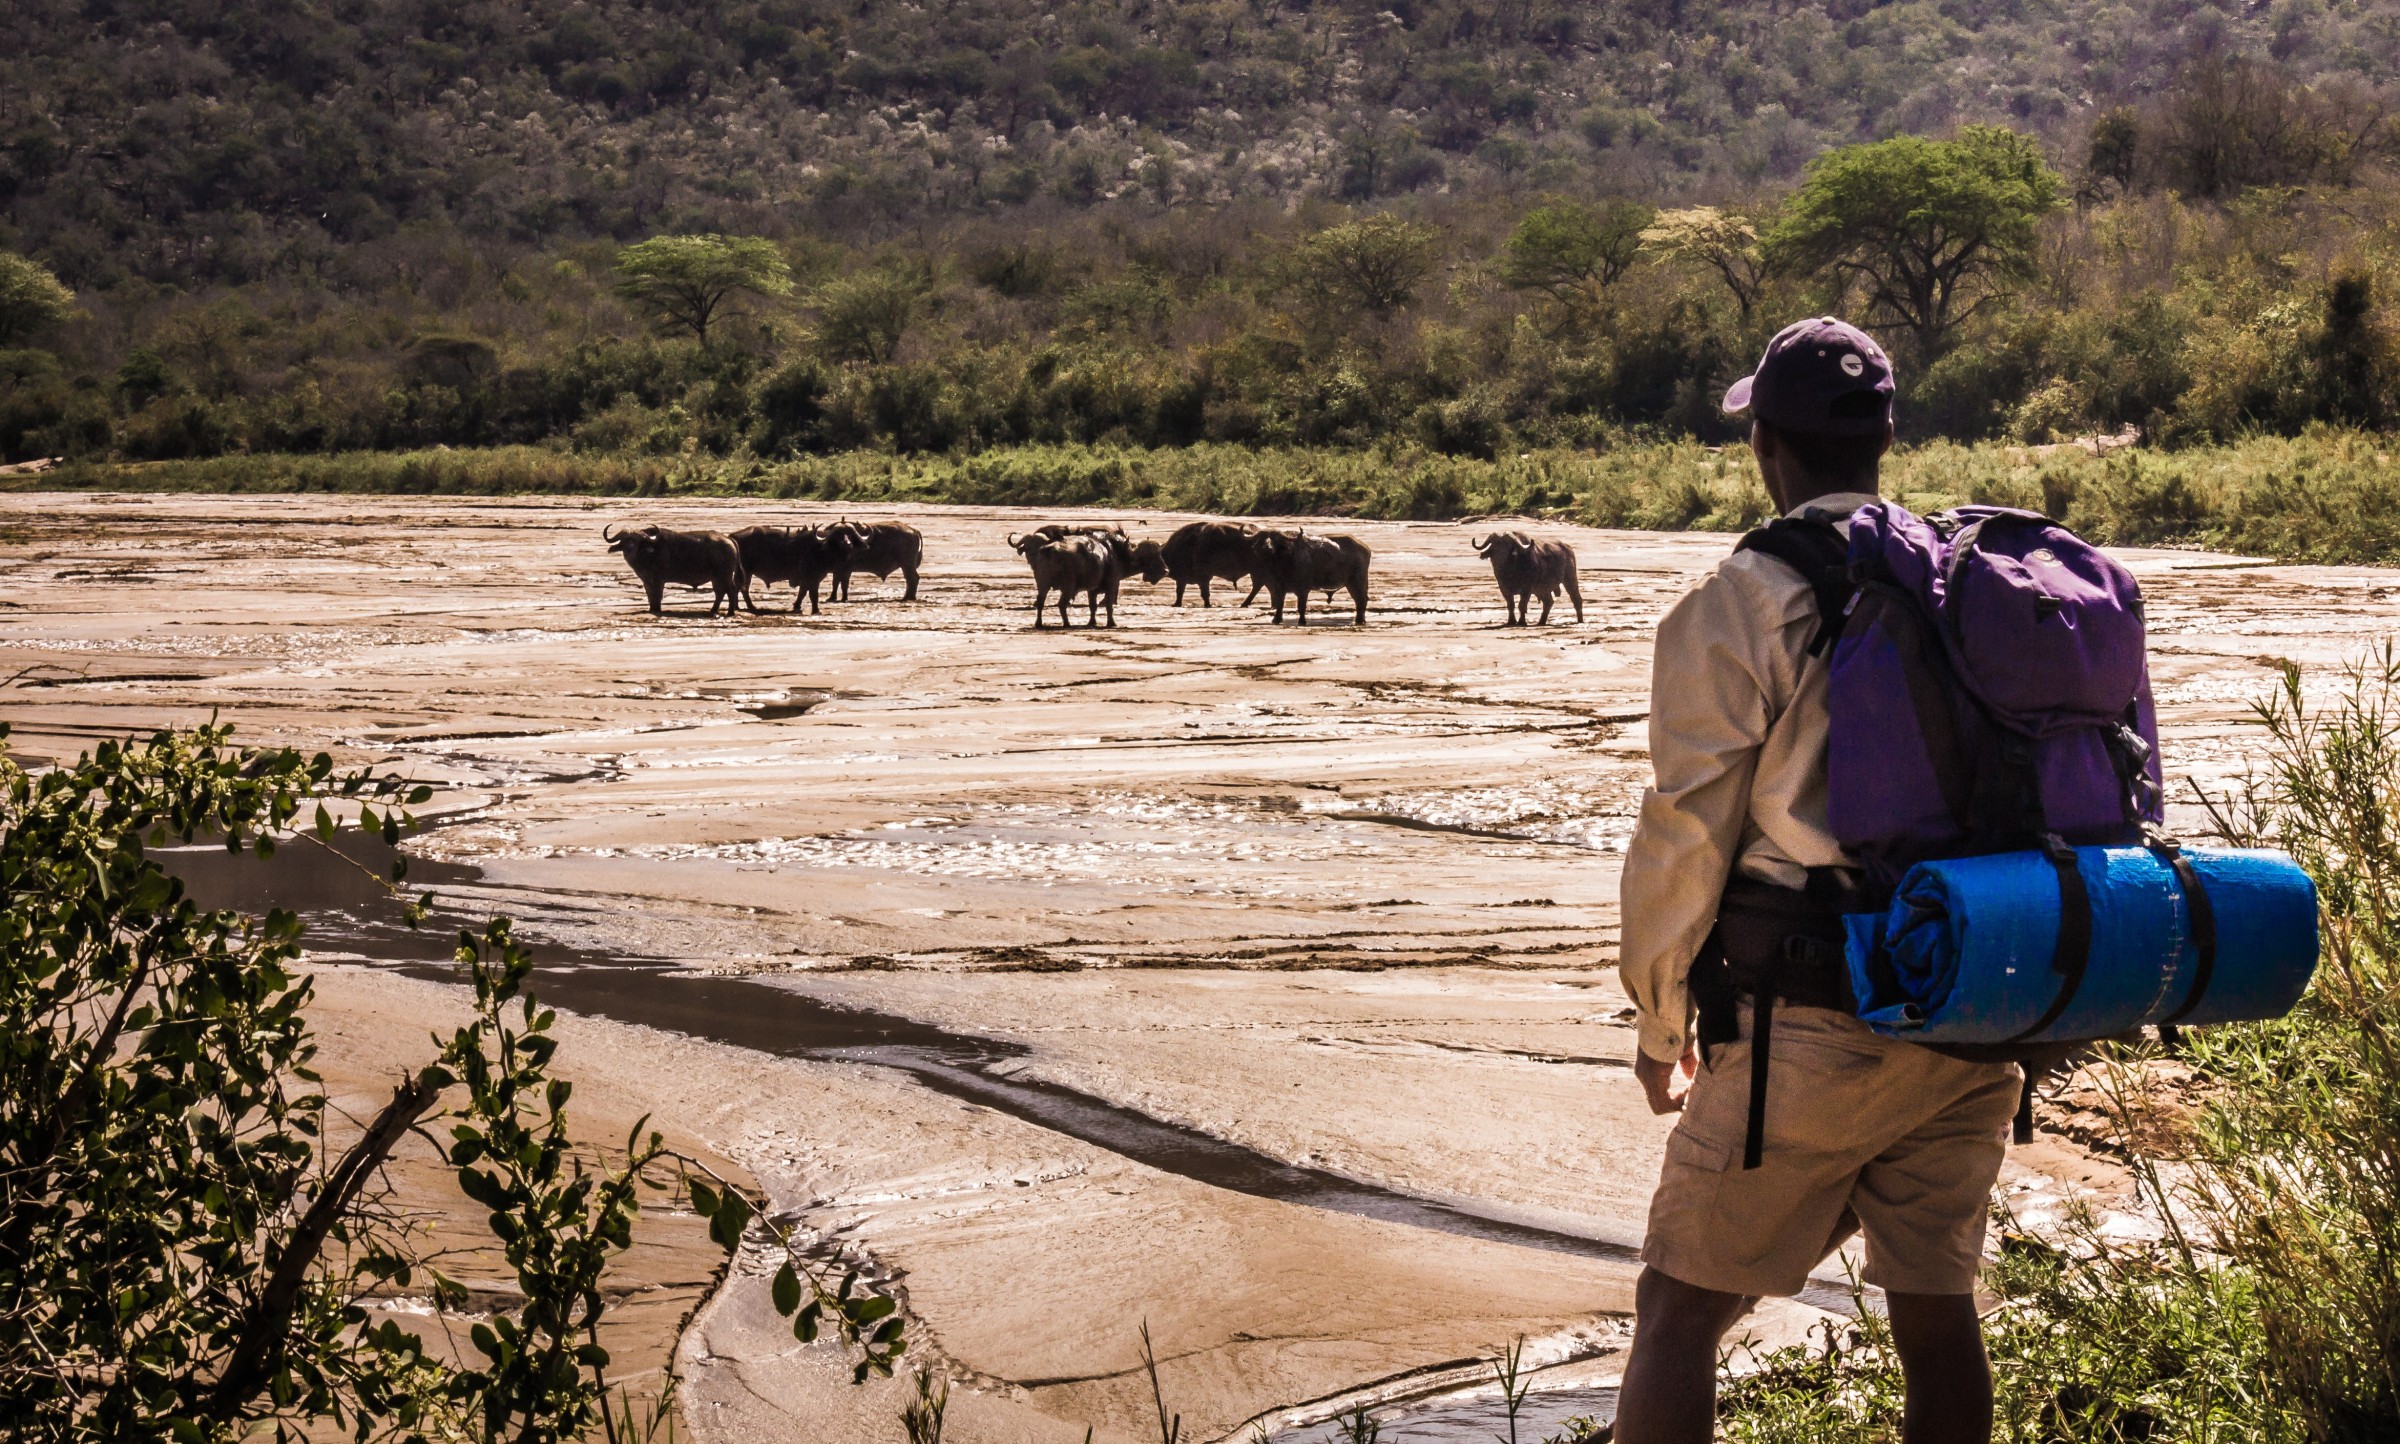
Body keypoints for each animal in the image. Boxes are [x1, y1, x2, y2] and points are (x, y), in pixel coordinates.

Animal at [604, 522, 744, 611]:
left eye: (637, 541)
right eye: (624, 540)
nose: (629, 549)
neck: (650, 553)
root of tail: (728, 539)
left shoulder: (658, 580)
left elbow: (657, 595)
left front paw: (657, 609)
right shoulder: (646, 581)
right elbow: (649, 596)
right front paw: (651, 608)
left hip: (724, 575)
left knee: (730, 590)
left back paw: (730, 612)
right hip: (716, 578)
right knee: (720, 592)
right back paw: (713, 610)